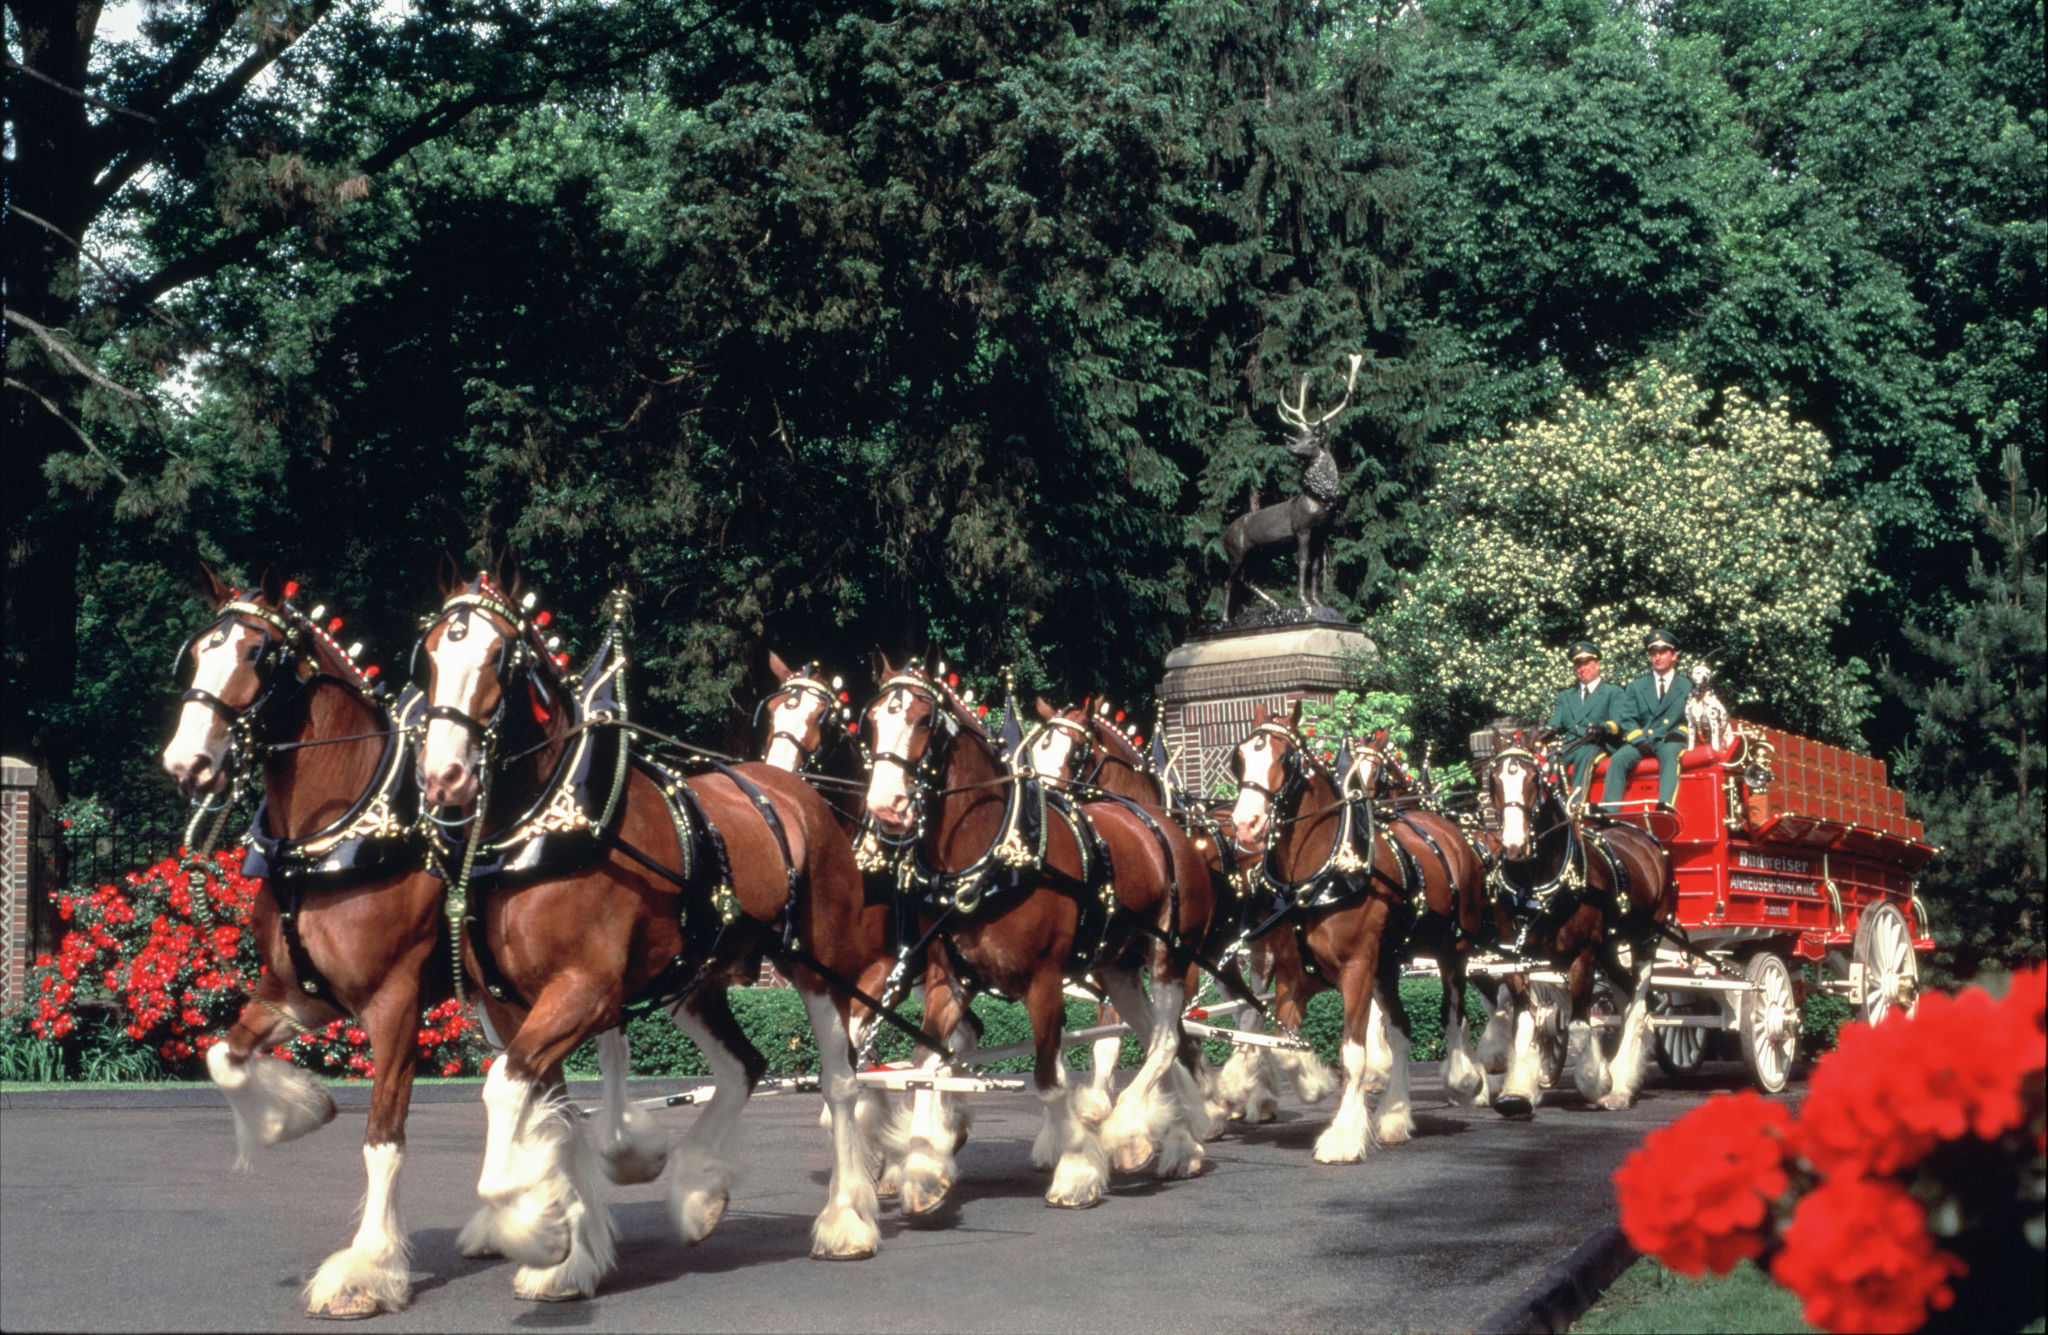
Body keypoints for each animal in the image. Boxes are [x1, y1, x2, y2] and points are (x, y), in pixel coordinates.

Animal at [160, 565, 448, 1310]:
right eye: (197, 651)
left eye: (259, 655)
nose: (186, 762)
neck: (331, 840)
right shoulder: (296, 994)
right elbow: (223, 1056)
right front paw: (296, 1111)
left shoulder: (395, 1004)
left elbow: (383, 1137)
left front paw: (368, 1268)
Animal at [415, 565, 888, 1294]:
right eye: (434, 654)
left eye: (498, 657)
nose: (443, 776)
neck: (549, 826)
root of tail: (792, 791)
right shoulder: (515, 1004)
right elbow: (552, 1114)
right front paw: (572, 1250)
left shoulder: (583, 991)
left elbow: (507, 1090)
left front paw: (528, 1221)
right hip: (695, 979)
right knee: (744, 1064)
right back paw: (699, 1193)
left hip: (818, 965)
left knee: (839, 1080)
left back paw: (846, 1220)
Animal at [864, 663, 1212, 1212]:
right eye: (874, 719)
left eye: (923, 721)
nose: (885, 803)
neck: (992, 857)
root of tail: (1165, 825)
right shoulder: (948, 980)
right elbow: (925, 1064)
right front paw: (921, 1169)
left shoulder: (1044, 982)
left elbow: (1050, 1080)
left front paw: (1076, 1169)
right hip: (1117, 969)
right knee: (1164, 1037)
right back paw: (1179, 1140)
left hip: (1170, 957)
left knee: (1164, 1040)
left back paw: (1128, 1129)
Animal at [1490, 741, 1679, 1113]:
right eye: (1494, 779)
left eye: (1534, 779)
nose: (1515, 845)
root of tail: (1644, 835)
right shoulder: (1514, 959)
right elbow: (1525, 1021)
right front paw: (1517, 1090)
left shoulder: (1583, 957)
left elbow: (1579, 1025)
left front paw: (1597, 1082)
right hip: (1609, 948)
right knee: (1631, 997)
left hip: (1646, 939)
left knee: (1638, 1000)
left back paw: (1619, 1085)